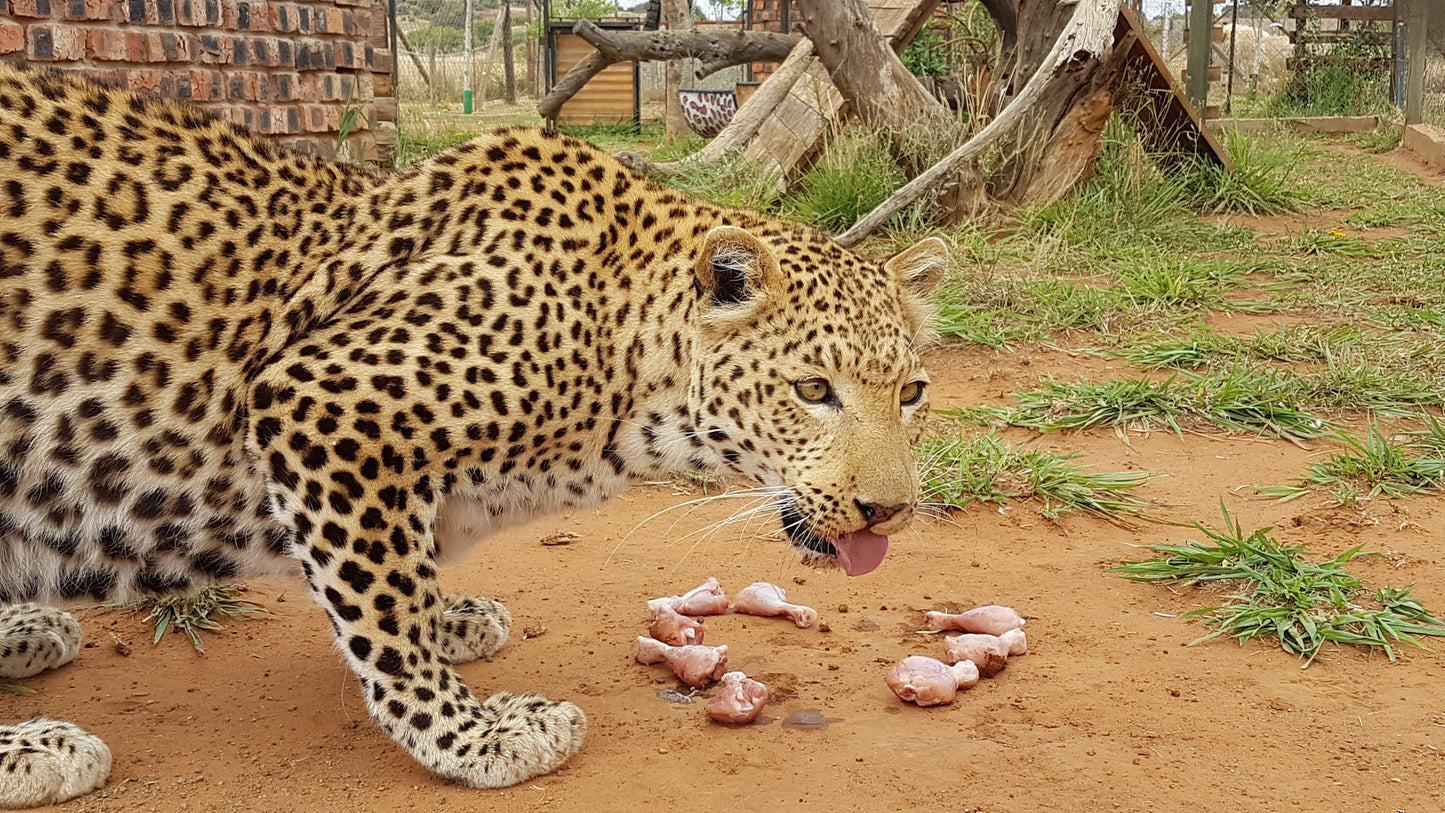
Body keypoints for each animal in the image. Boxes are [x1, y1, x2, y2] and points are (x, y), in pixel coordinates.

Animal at [0, 65, 947, 808]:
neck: (622, 360)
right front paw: (468, 734)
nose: (888, 511)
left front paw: (452, 618)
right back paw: (35, 745)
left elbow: (393, 582)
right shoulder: (317, 403)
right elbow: (384, 606)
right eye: (812, 390)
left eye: (910, 392)